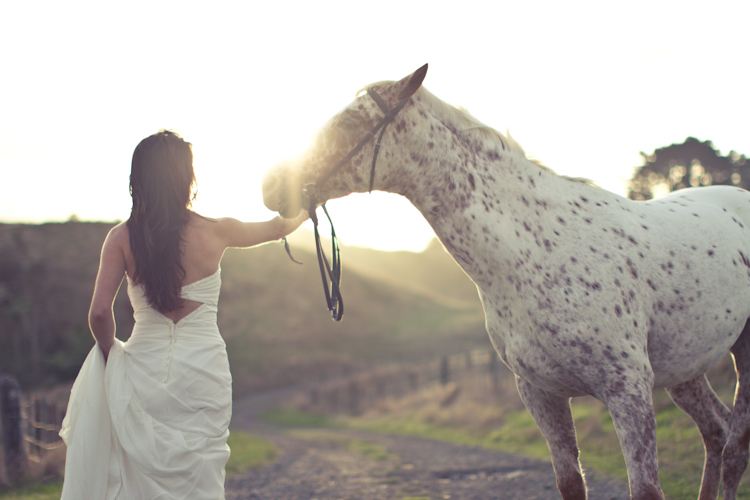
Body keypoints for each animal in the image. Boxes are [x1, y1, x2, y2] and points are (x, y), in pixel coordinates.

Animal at [261, 65, 750, 500]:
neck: (536, 250)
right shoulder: (540, 394)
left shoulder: (627, 391)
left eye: (349, 121)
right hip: (684, 369)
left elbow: (646, 490)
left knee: (733, 451)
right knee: (716, 433)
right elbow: (571, 484)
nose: (270, 185)